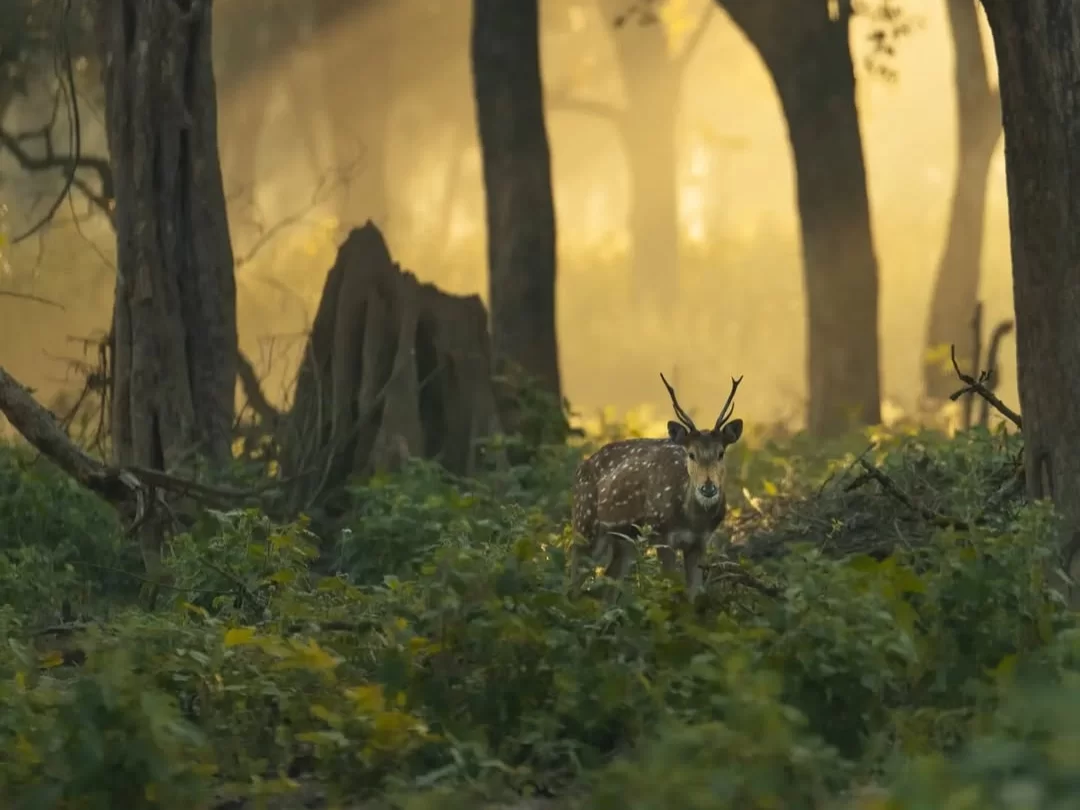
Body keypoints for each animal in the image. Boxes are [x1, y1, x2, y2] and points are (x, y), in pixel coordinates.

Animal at [569, 373, 744, 598]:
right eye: (691, 454)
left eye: (721, 453)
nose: (708, 487)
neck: (692, 519)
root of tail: (580, 468)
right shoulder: (662, 534)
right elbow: (670, 586)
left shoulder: (700, 542)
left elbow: (693, 594)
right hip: (584, 523)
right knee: (573, 576)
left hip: (624, 540)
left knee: (610, 580)